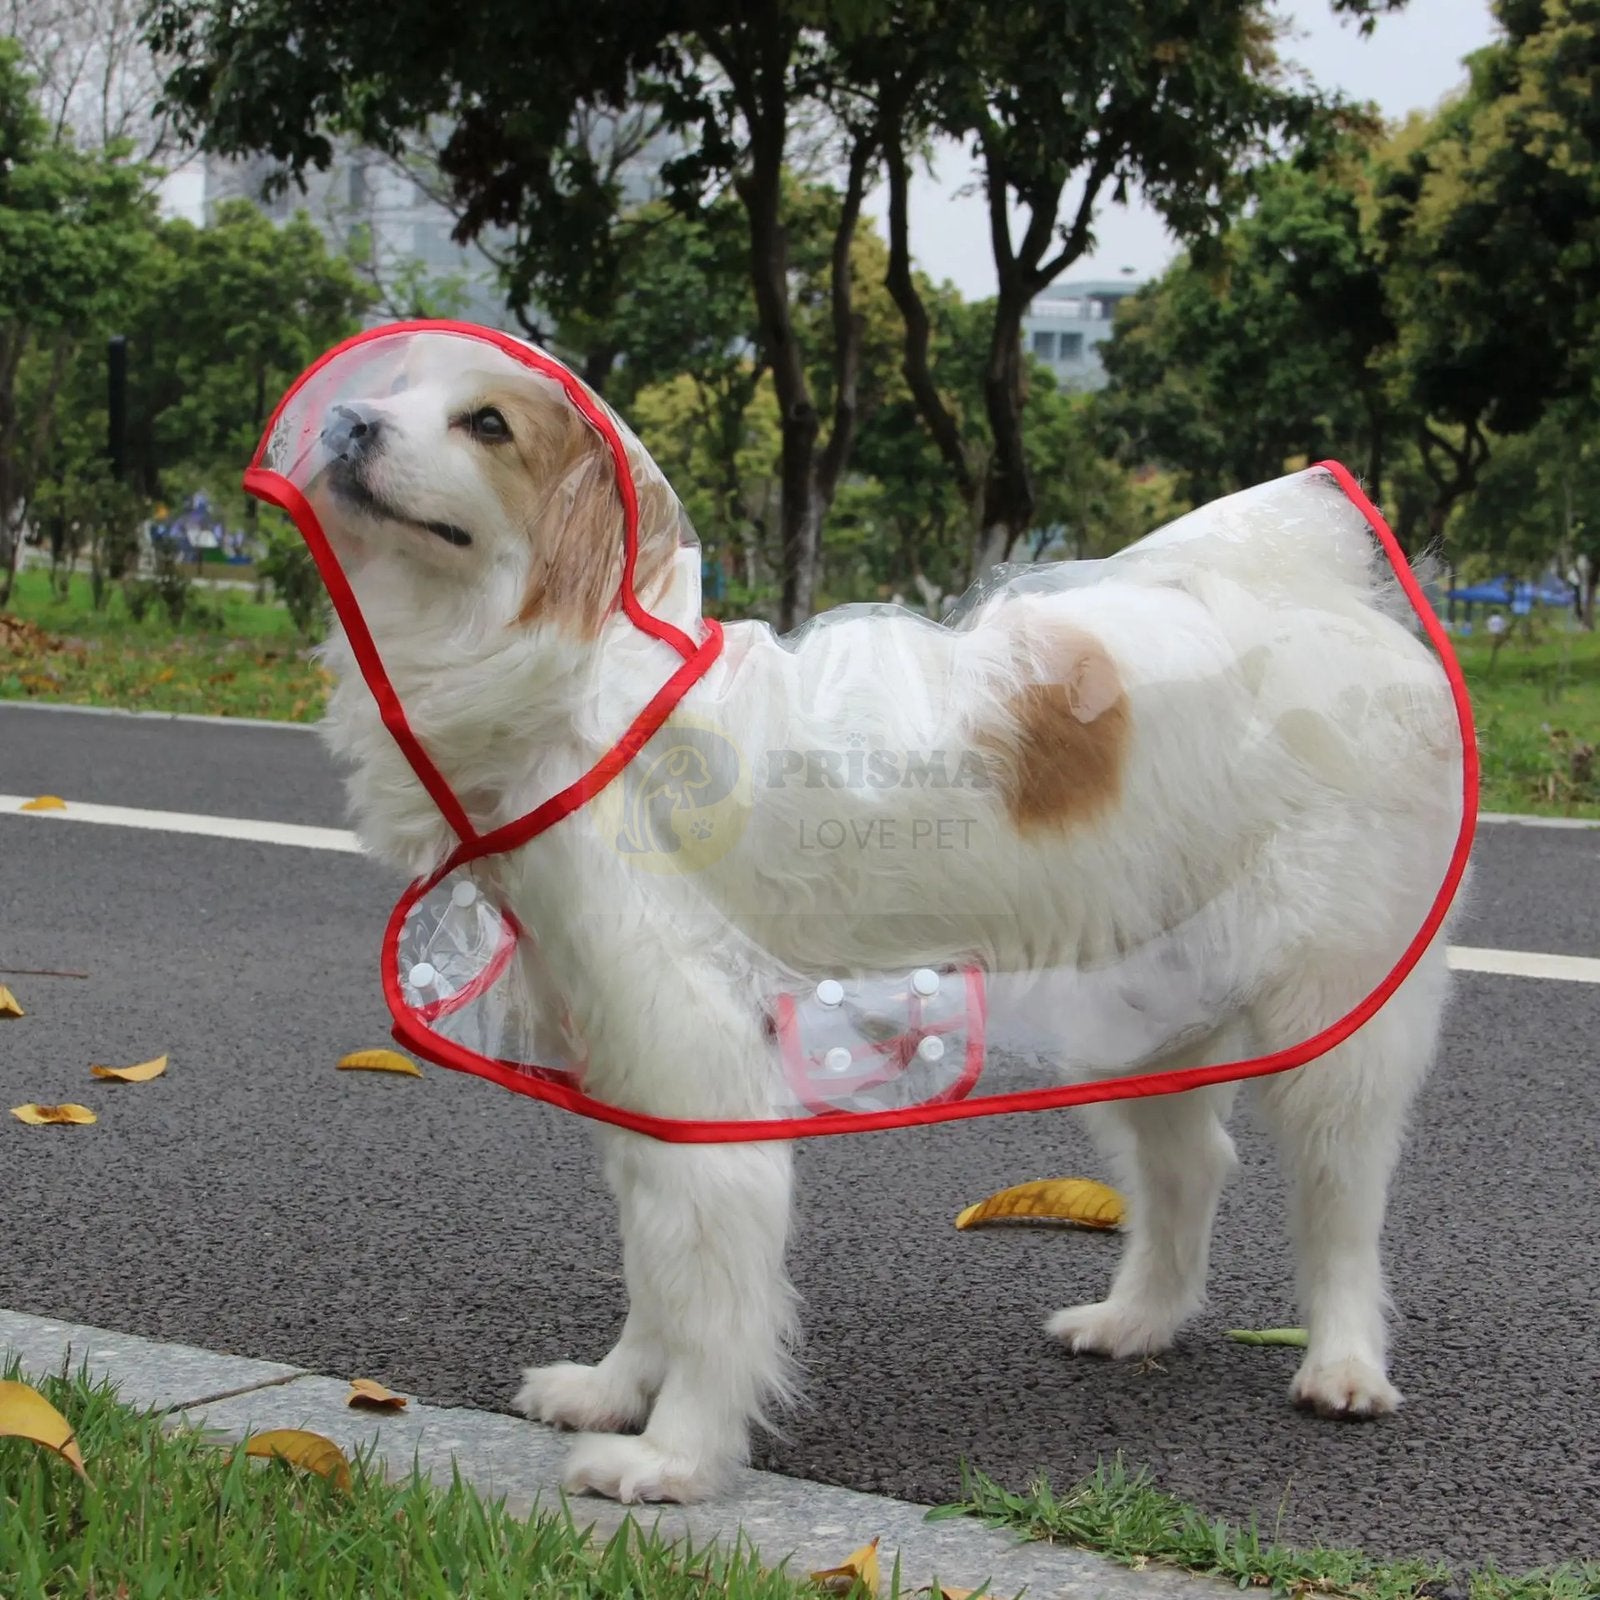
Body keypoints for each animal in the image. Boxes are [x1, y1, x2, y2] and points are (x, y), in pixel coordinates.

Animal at [294, 331, 1465, 1504]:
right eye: (393, 390)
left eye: (486, 424)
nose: (348, 424)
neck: (601, 700)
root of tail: (1328, 604)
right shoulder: (639, 1079)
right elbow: (654, 1264)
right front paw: (616, 1389)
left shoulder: (700, 1082)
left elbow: (705, 1281)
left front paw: (678, 1454)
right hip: (1144, 1016)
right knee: (1193, 1167)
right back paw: (1137, 1319)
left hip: (1331, 1024)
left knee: (1340, 1195)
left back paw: (1344, 1363)